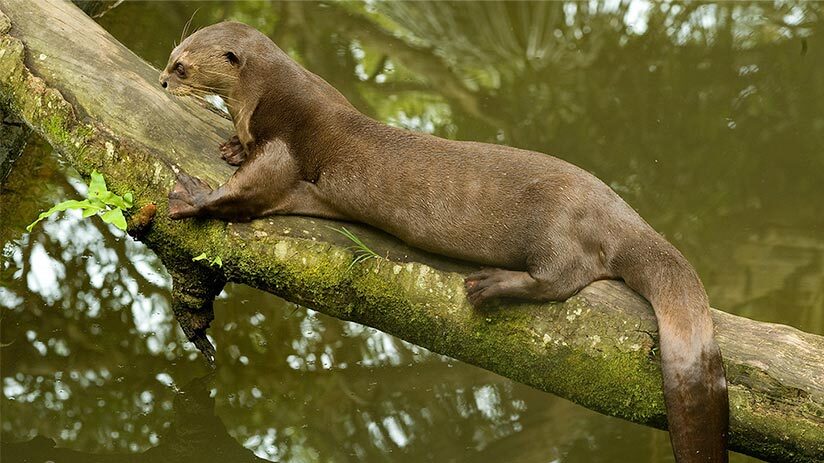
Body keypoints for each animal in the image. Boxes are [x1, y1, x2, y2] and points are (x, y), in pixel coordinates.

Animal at [159, 21, 728, 463]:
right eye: (170, 55)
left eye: (182, 65)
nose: (163, 80)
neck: (267, 99)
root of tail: (618, 211)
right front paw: (232, 148)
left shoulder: (288, 143)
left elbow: (249, 192)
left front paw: (189, 196)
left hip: (560, 229)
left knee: (564, 279)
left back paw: (489, 286)